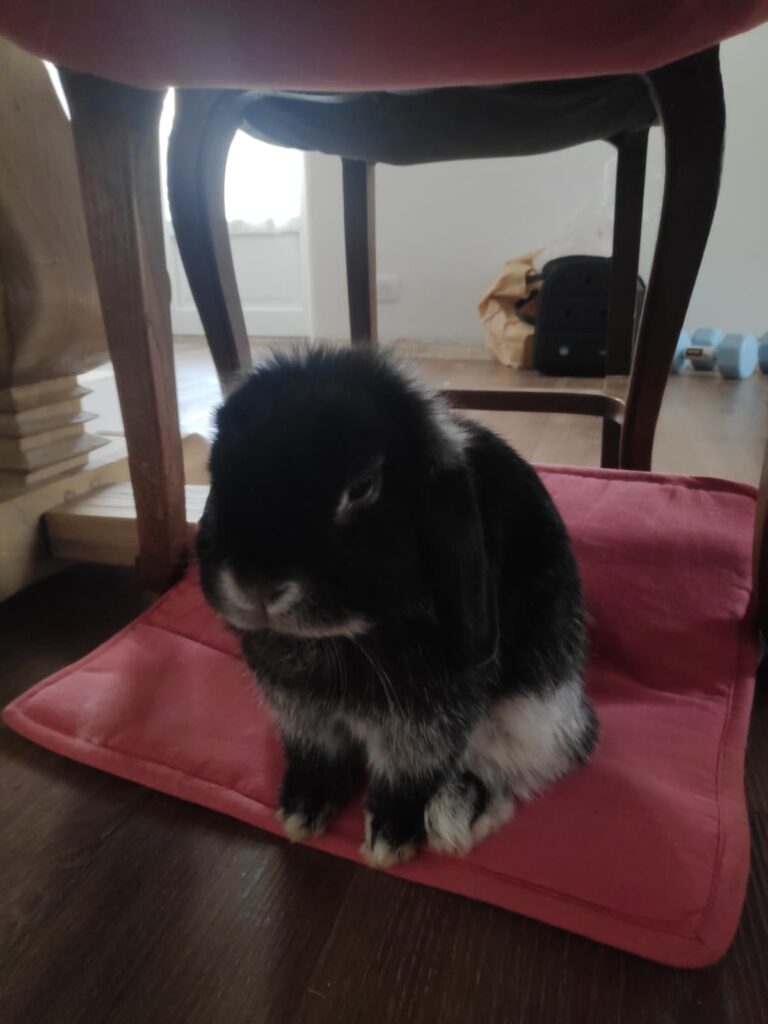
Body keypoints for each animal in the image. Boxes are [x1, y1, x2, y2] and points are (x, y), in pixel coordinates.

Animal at [197, 346, 597, 867]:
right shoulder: (300, 713)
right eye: (218, 473)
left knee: (544, 753)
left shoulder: (422, 722)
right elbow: (317, 755)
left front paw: (389, 839)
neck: (342, 639)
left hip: (538, 697)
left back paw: (456, 812)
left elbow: (405, 774)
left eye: (363, 487)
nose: (257, 584)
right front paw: (302, 810)